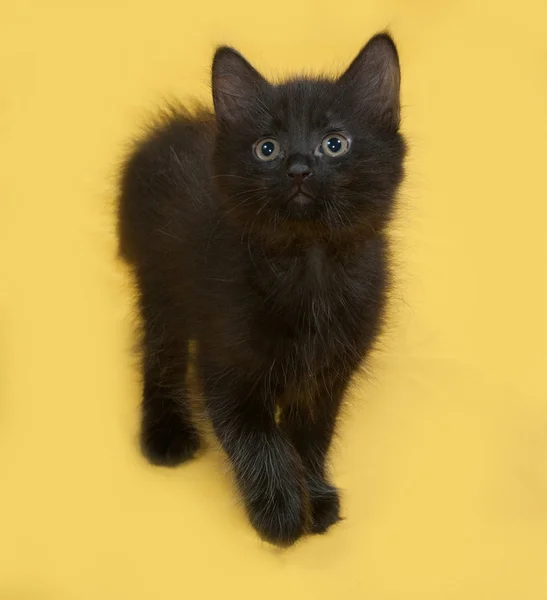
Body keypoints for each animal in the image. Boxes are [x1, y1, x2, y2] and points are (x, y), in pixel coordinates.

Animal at [119, 34, 406, 548]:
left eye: (334, 144)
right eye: (266, 149)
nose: (298, 168)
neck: (308, 264)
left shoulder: (329, 371)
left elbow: (309, 434)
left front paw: (315, 497)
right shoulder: (226, 362)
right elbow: (257, 436)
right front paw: (282, 512)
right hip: (159, 279)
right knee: (160, 353)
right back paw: (166, 433)